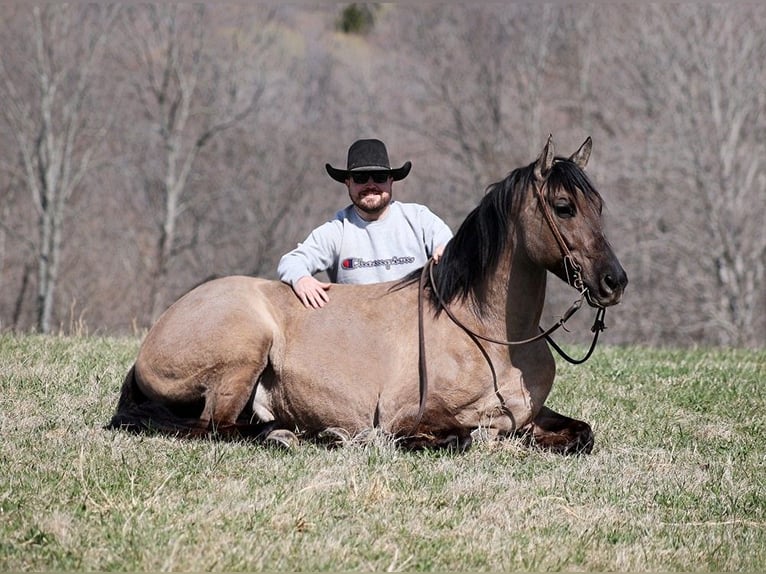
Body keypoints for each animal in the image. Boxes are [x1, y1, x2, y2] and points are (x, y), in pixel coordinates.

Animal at [108, 136, 632, 454]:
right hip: (242, 353)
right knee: (216, 427)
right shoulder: (409, 419)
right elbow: (464, 437)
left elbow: (580, 434)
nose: (615, 281)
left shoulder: (533, 414)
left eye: (597, 206)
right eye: (563, 207)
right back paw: (299, 435)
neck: (488, 334)